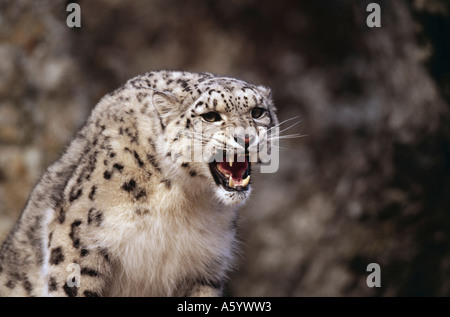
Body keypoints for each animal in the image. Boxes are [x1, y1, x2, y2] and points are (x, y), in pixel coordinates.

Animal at [0, 70, 278, 296]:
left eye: (258, 112)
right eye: (210, 116)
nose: (246, 139)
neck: (186, 203)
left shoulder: (205, 267)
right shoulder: (78, 245)